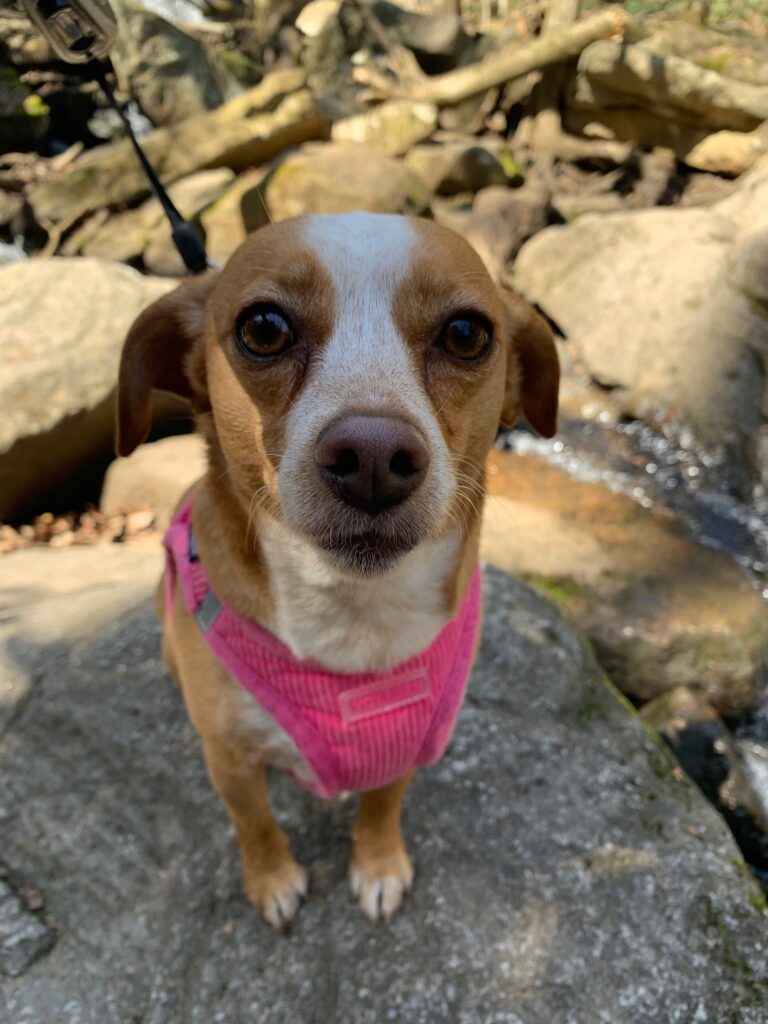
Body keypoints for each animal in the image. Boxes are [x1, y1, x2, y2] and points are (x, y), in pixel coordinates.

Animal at [115, 214, 561, 929]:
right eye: (264, 327)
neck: (354, 609)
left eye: (467, 334)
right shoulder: (230, 763)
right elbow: (255, 825)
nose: (373, 454)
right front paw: (272, 879)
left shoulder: (405, 742)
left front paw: (377, 864)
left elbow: (381, 804)